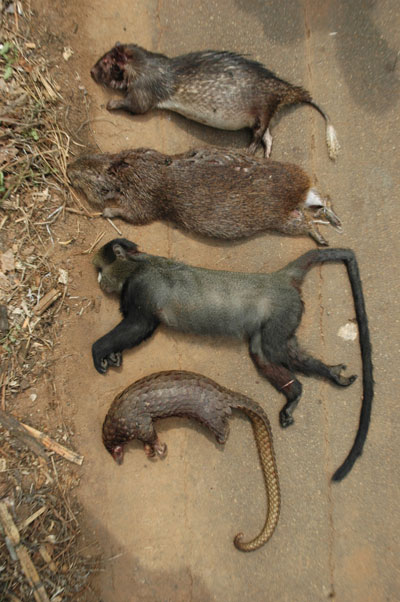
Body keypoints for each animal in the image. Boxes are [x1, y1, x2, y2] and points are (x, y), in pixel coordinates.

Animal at [91, 44, 340, 158]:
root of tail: (282, 88)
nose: (92, 71)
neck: (143, 64)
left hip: (262, 108)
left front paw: (112, 104)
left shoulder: (145, 90)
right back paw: (266, 155)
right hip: (265, 112)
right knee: (268, 136)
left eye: (107, 62)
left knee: (260, 134)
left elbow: (136, 105)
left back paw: (248, 151)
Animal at [92, 239, 374, 478]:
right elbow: (141, 331)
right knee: (263, 353)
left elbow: (139, 326)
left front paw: (98, 352)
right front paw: (113, 356)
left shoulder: (142, 289)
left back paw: (326, 375)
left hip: (284, 310)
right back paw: (297, 391)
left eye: (100, 270)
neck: (136, 265)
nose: (100, 282)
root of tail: (279, 278)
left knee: (274, 350)